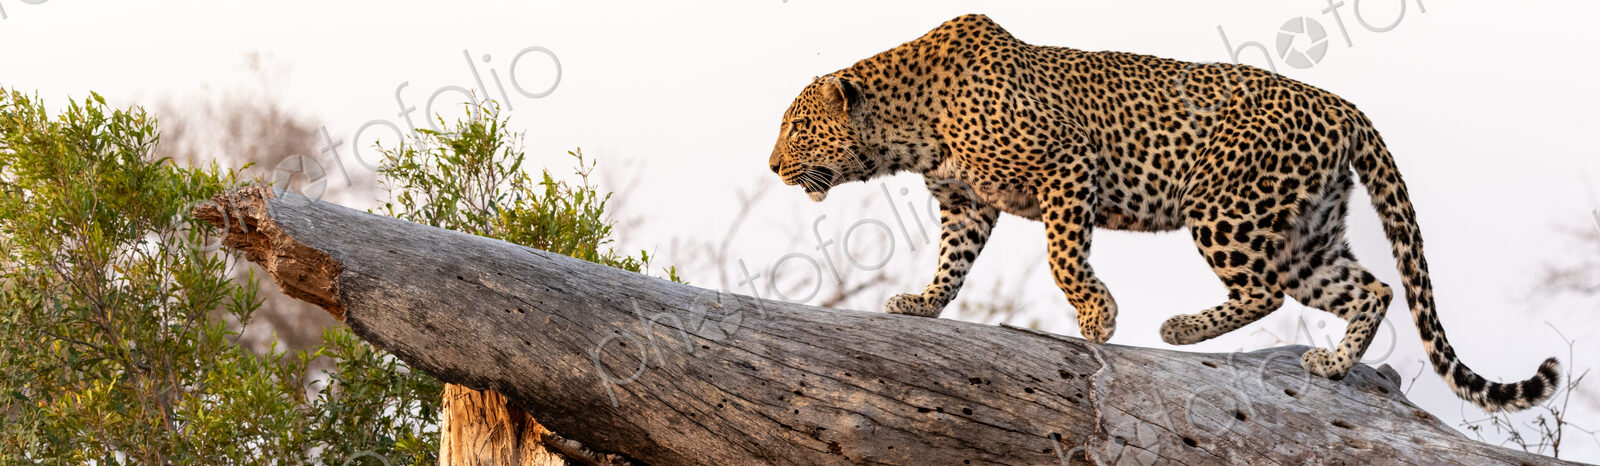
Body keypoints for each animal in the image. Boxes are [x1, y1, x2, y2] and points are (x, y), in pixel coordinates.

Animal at [766, 14, 1558, 412]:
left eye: (796, 127)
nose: (771, 167)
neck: (908, 125)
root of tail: (1345, 105)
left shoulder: (1066, 167)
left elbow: (1063, 257)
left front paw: (1097, 318)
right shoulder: (966, 204)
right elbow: (952, 266)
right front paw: (921, 305)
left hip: (1226, 207)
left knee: (1264, 288)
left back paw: (1179, 329)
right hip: (1307, 230)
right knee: (1371, 287)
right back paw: (1333, 365)